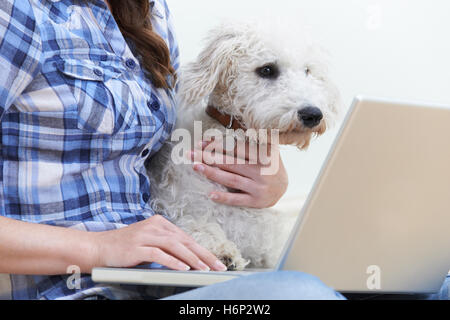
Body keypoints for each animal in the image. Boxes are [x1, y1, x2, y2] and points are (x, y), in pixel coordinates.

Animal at [148, 20, 342, 270]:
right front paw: (222, 251)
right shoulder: (176, 206)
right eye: (267, 70)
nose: (313, 114)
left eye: (307, 71)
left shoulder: (270, 244)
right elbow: (194, 224)